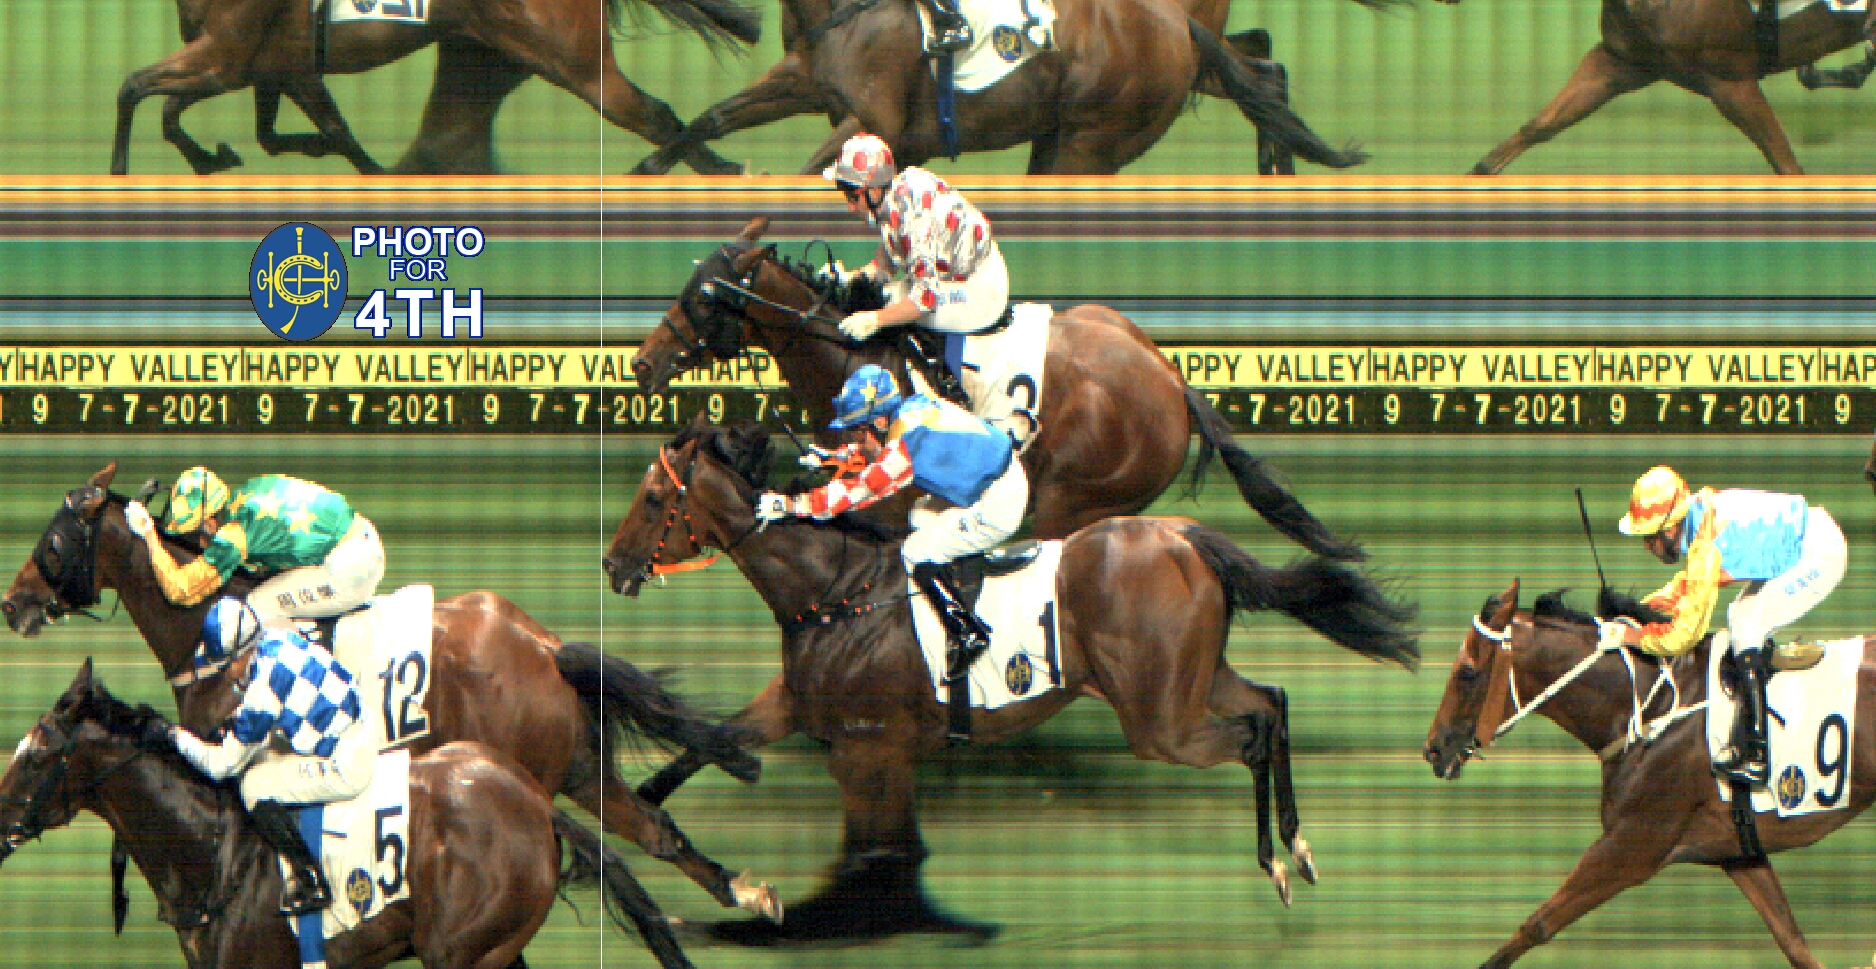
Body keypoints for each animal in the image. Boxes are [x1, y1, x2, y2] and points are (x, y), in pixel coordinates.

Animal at [0, 464, 782, 924]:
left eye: (55, 541)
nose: (14, 604)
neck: (216, 636)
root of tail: (543, 646)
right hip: (579, 768)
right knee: (655, 830)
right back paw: (750, 892)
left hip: (533, 769)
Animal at [115, 0, 758, 175]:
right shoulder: (269, 67)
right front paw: (213, 157)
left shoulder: (226, 59)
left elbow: (133, 89)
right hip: (487, 60)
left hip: (578, 65)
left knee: (653, 113)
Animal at [601, 421, 1418, 942]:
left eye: (653, 500)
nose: (610, 566)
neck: (835, 588)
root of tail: (1184, 535)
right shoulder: (797, 706)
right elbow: (707, 743)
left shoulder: (868, 748)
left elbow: (878, 850)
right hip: (1190, 683)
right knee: (1271, 704)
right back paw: (1298, 847)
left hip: (1160, 722)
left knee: (1250, 733)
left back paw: (1276, 860)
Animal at [1423, 579, 1876, 969]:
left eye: (1466, 672)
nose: (1433, 749)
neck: (1648, 711)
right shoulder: (1736, 848)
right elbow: (1793, 942)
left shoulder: (1632, 844)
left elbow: (1537, 925)